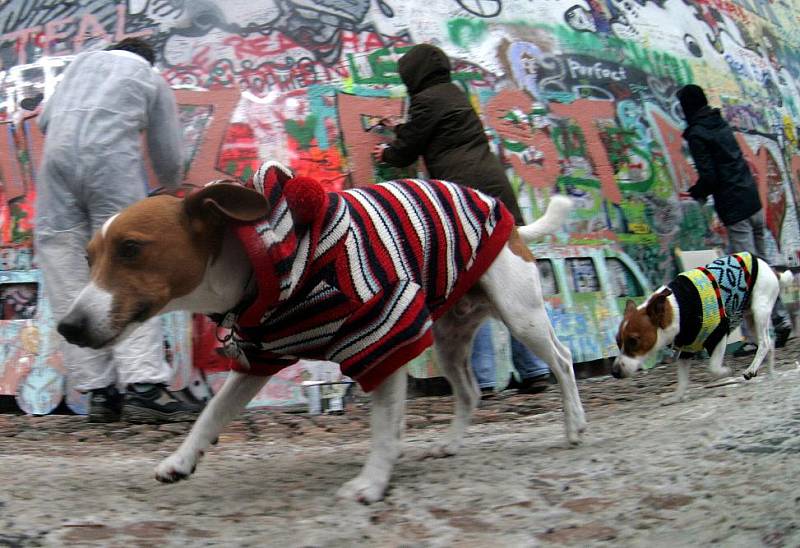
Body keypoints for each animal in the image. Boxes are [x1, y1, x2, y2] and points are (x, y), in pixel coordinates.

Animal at [608, 253, 784, 402]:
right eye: (618, 342)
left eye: (633, 341)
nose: (614, 372)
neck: (678, 309)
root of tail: (771, 269)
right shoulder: (686, 349)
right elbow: (682, 380)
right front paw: (677, 397)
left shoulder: (719, 335)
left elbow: (713, 367)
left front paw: (726, 372)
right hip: (751, 321)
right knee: (770, 343)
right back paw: (770, 374)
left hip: (759, 310)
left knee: (765, 343)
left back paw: (751, 369)